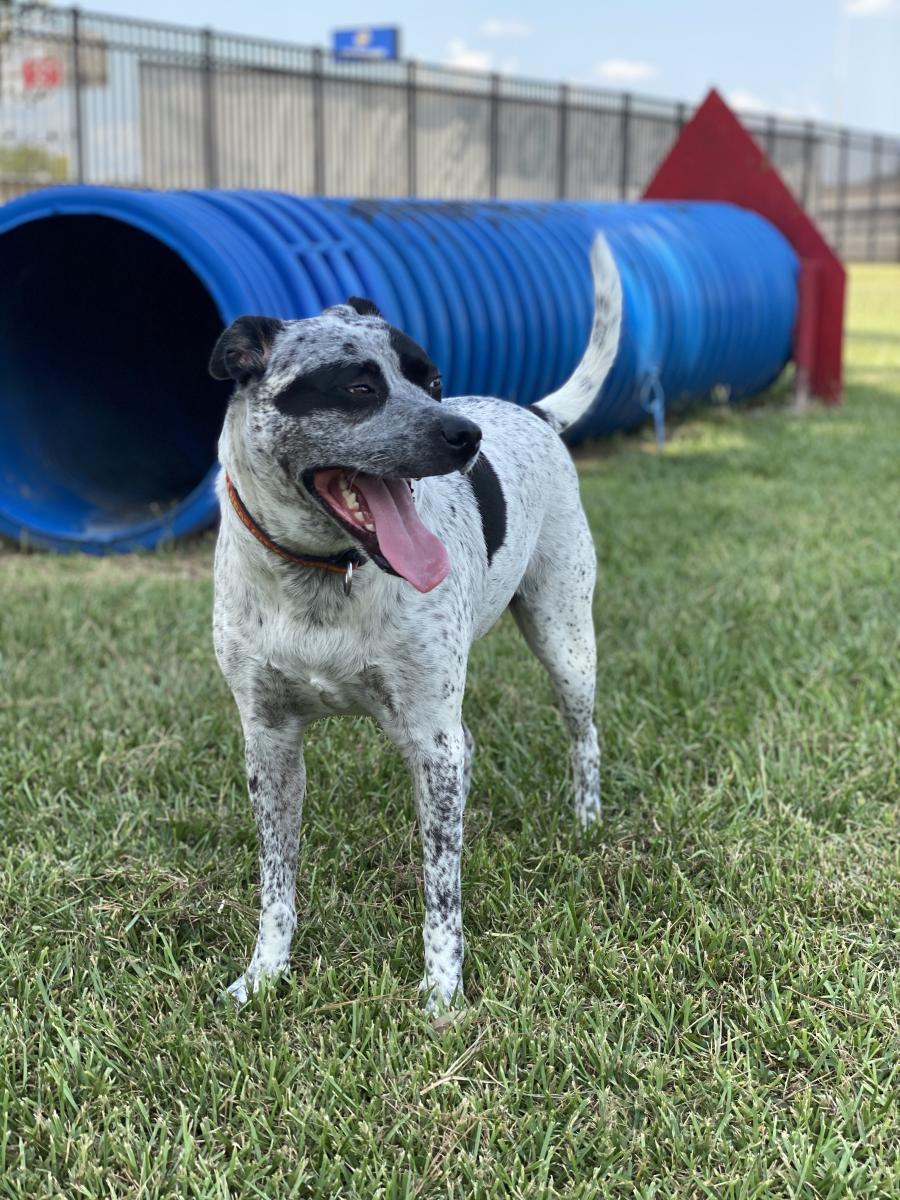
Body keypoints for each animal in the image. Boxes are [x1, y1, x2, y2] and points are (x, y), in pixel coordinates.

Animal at [210, 231, 619, 1003]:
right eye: (359, 388)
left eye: (431, 382)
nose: (466, 434)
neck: (323, 577)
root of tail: (534, 413)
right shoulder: (270, 742)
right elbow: (275, 881)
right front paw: (265, 972)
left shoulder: (429, 738)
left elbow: (441, 890)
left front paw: (442, 993)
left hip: (565, 646)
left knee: (583, 739)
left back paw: (586, 822)